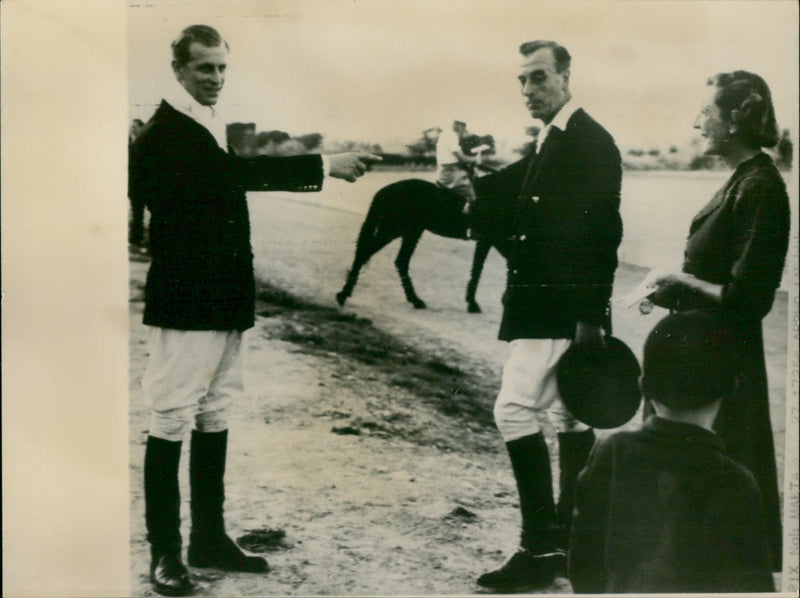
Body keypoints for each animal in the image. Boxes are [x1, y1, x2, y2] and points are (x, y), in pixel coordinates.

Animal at [332, 171, 510, 314]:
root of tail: (384, 191)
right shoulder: (490, 239)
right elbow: (479, 269)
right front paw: (474, 303)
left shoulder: (498, 240)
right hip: (394, 230)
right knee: (367, 253)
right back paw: (344, 294)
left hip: (409, 232)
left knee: (399, 261)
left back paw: (414, 300)